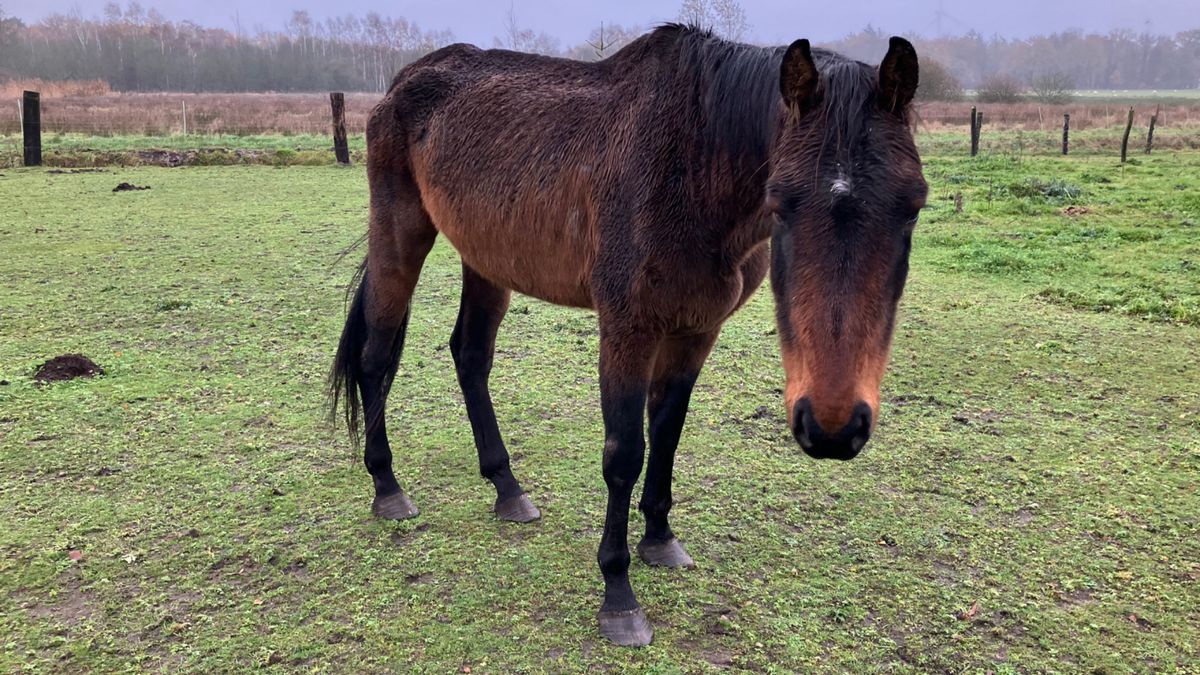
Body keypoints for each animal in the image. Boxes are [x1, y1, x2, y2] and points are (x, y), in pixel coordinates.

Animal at [330, 24, 927, 646]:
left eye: (912, 206)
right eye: (780, 202)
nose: (833, 427)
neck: (693, 163)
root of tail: (404, 81)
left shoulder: (695, 332)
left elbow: (666, 434)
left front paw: (659, 540)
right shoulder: (627, 330)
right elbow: (625, 453)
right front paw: (618, 595)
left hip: (487, 259)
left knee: (470, 357)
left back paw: (507, 488)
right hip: (401, 232)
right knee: (375, 356)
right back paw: (388, 488)